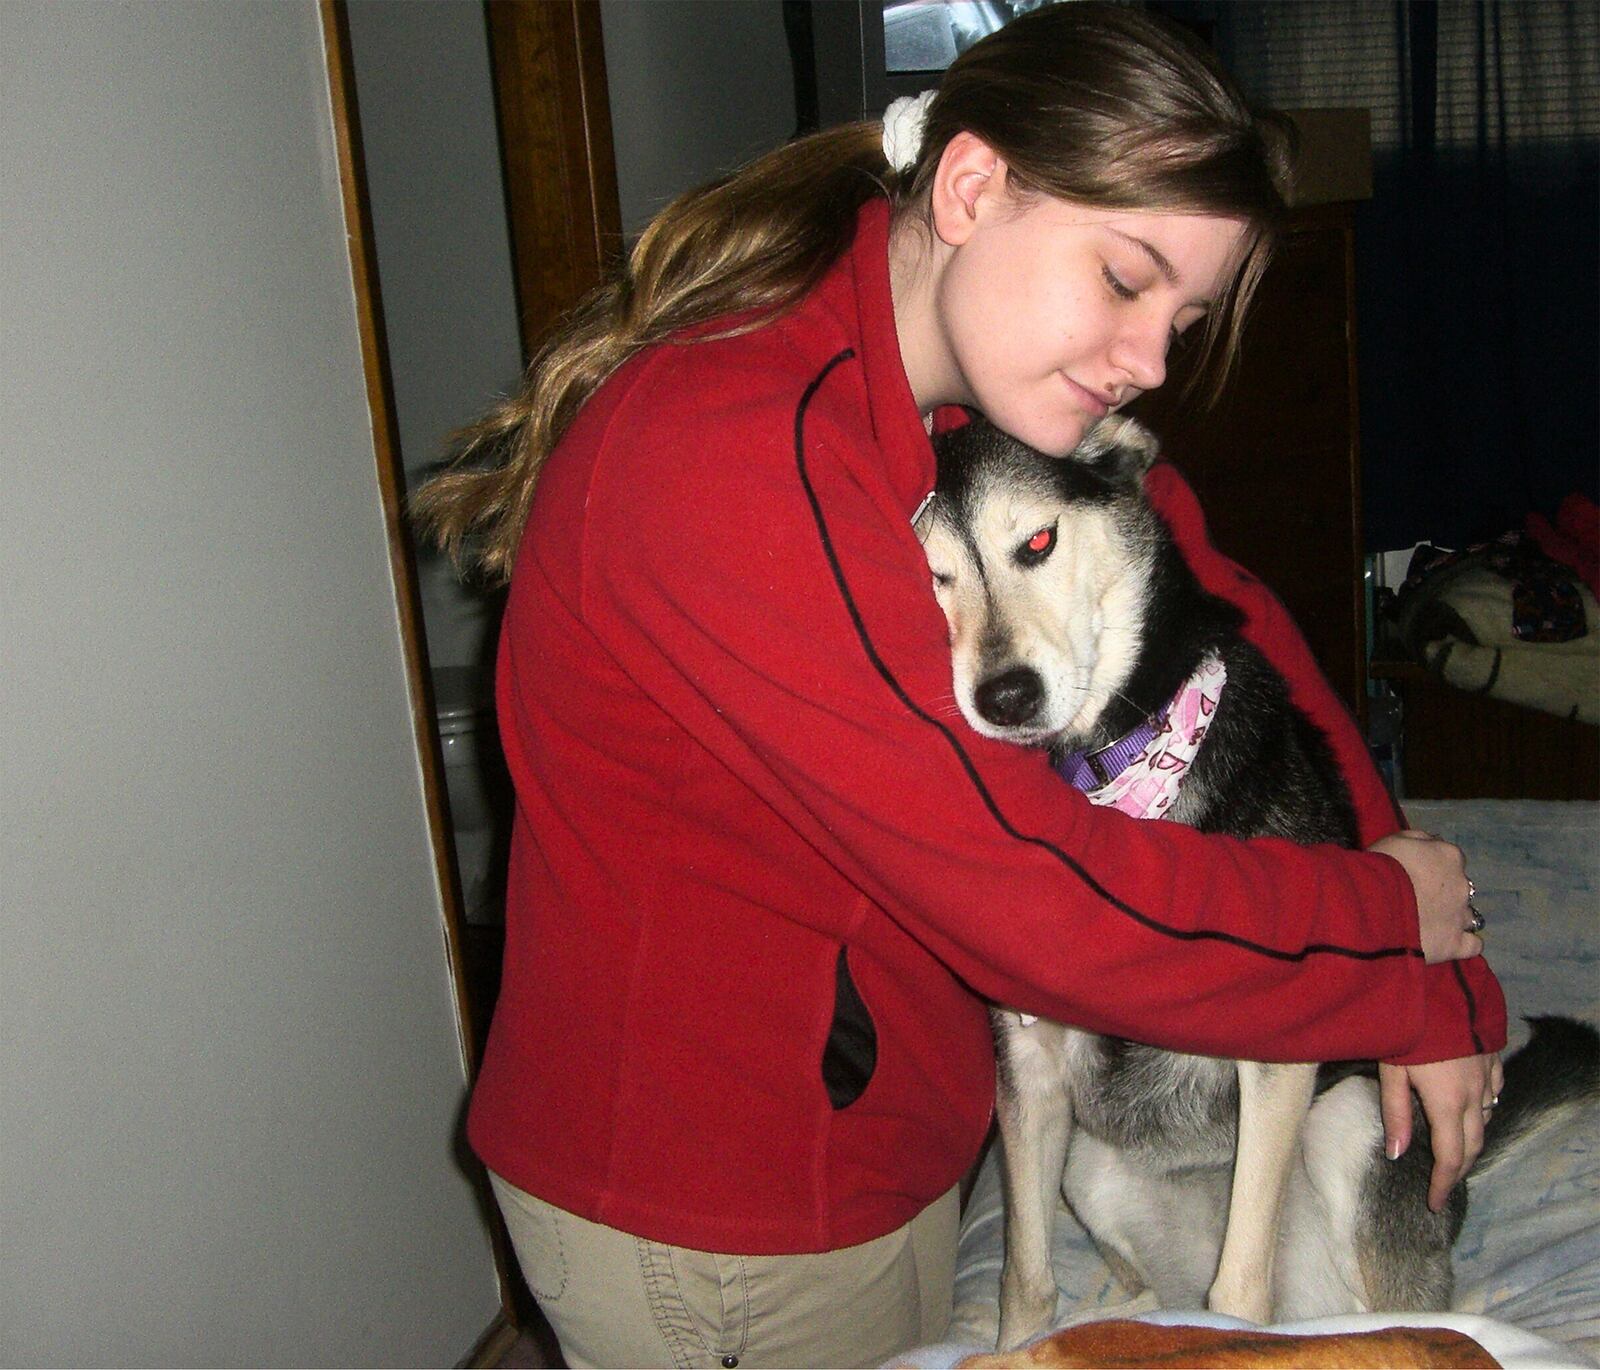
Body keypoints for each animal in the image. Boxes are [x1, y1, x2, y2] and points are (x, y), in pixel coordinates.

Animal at [915, 416, 1600, 1350]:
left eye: (1040, 542)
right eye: (932, 578)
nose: (1006, 697)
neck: (1110, 778)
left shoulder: (1280, 1060)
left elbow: (1238, 1290)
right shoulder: (1028, 1070)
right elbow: (1025, 1279)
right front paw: (1021, 1348)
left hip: (1355, 1120)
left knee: (1390, 1308)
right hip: (1089, 1163)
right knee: (1158, 1289)